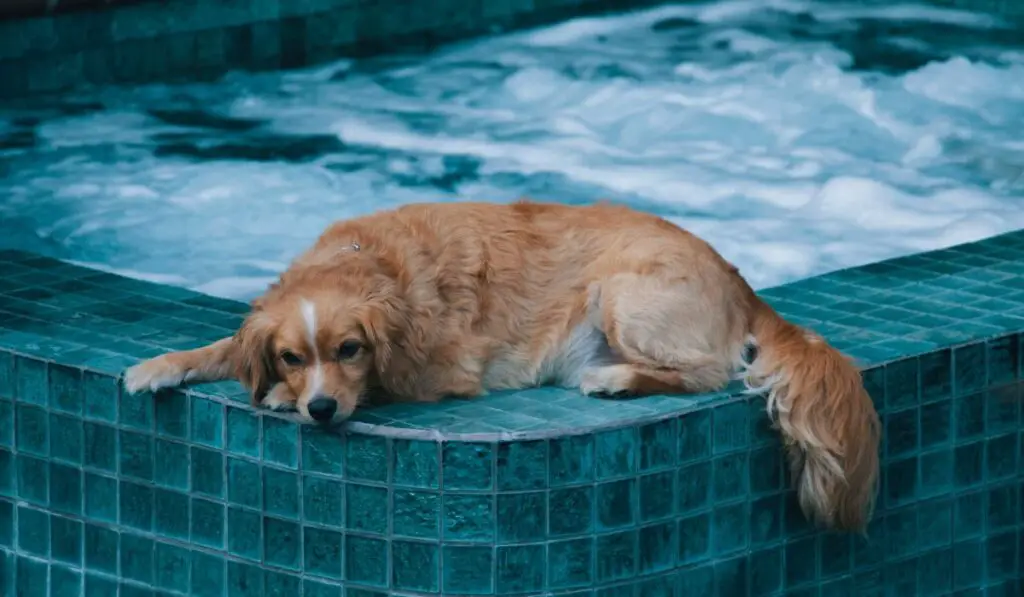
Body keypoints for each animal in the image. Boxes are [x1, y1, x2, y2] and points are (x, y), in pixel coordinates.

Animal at [123, 201, 880, 532]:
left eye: (351, 350)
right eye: (291, 353)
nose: (322, 408)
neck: (370, 262)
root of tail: (741, 281)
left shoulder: (440, 370)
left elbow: (389, 385)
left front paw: (281, 399)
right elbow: (225, 345)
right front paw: (164, 364)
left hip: (623, 294)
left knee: (705, 375)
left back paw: (616, 378)